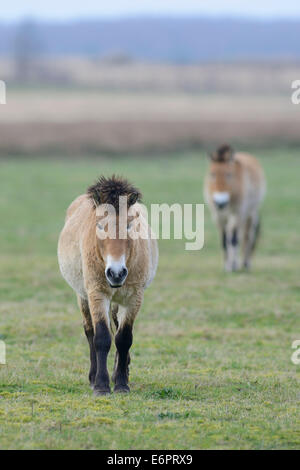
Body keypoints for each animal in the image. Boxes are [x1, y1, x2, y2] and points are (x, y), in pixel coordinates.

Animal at [57, 174, 158, 394]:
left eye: (129, 225)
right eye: (99, 226)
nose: (116, 273)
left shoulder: (134, 298)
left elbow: (123, 338)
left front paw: (121, 383)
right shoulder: (97, 294)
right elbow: (101, 337)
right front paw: (101, 386)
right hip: (83, 297)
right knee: (90, 331)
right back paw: (93, 377)